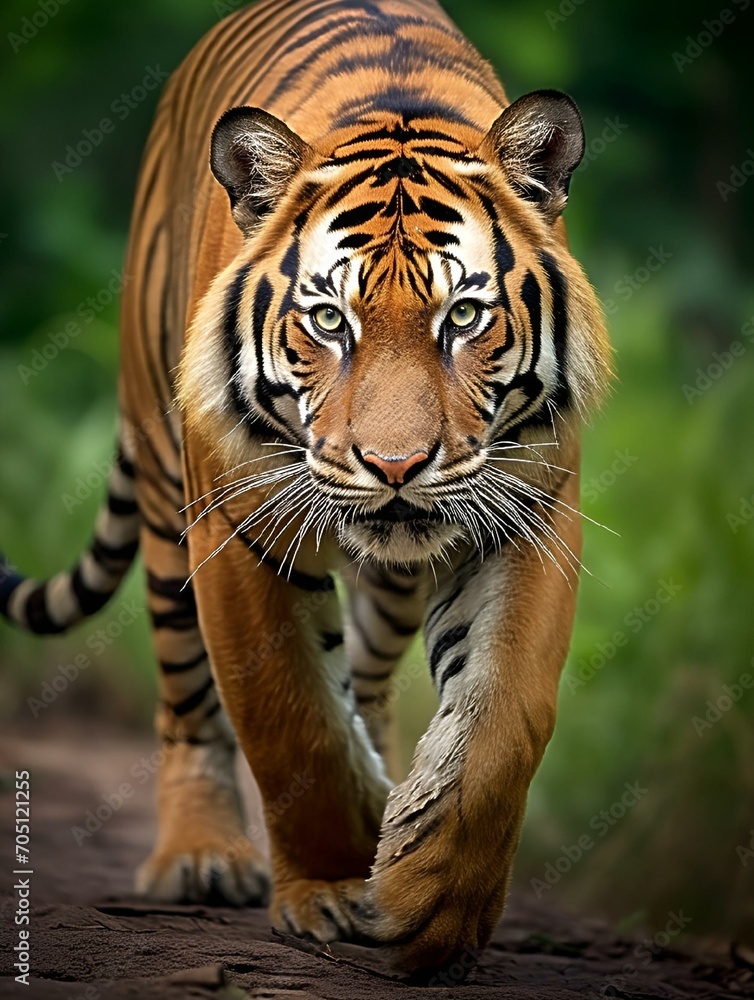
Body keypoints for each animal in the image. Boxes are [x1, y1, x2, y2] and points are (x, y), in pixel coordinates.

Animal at [1, 0, 612, 976]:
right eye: (330, 320)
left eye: (463, 316)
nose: (396, 466)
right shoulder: (236, 528)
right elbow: (292, 718)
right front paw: (329, 884)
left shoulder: (528, 516)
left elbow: (499, 720)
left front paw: (431, 896)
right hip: (167, 508)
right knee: (189, 701)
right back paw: (203, 857)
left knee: (369, 679)